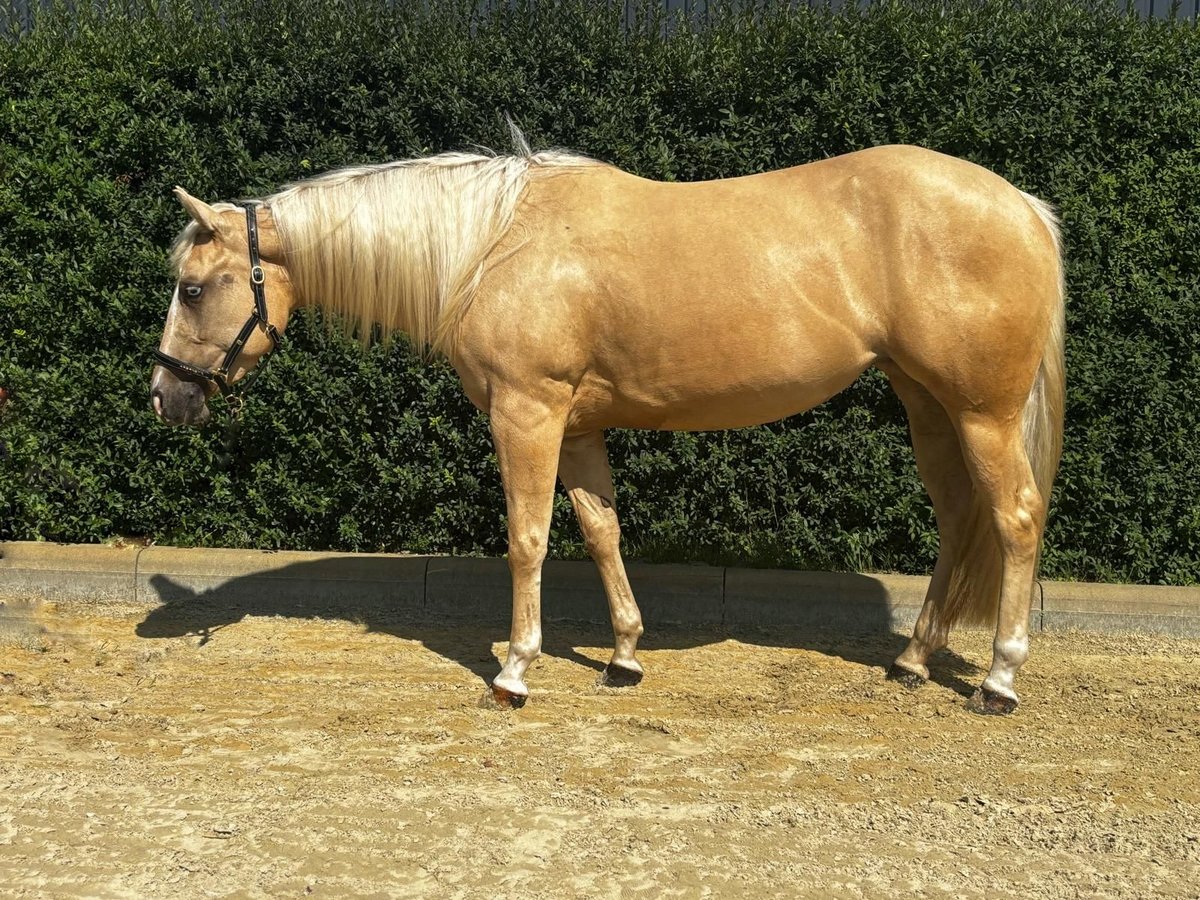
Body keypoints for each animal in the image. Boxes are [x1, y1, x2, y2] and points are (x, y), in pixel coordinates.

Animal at [150, 138, 1064, 715]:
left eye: (193, 288)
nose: (165, 398)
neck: (491, 247)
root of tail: (1021, 204)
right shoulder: (579, 425)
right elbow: (600, 531)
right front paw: (623, 658)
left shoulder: (528, 412)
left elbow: (527, 538)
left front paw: (516, 670)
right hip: (927, 405)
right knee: (959, 520)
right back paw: (912, 661)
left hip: (980, 412)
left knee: (1015, 518)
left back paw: (999, 681)